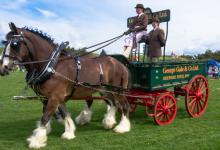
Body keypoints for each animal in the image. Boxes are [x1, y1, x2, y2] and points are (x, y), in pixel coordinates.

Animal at [0, 22, 131, 149]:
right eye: (5, 43)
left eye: (15, 44)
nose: (3, 68)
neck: (52, 65)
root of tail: (120, 64)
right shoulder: (49, 97)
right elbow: (62, 113)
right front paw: (68, 131)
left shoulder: (55, 96)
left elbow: (46, 116)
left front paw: (37, 140)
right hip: (104, 90)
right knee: (113, 103)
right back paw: (108, 122)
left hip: (117, 90)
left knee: (124, 105)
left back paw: (122, 127)